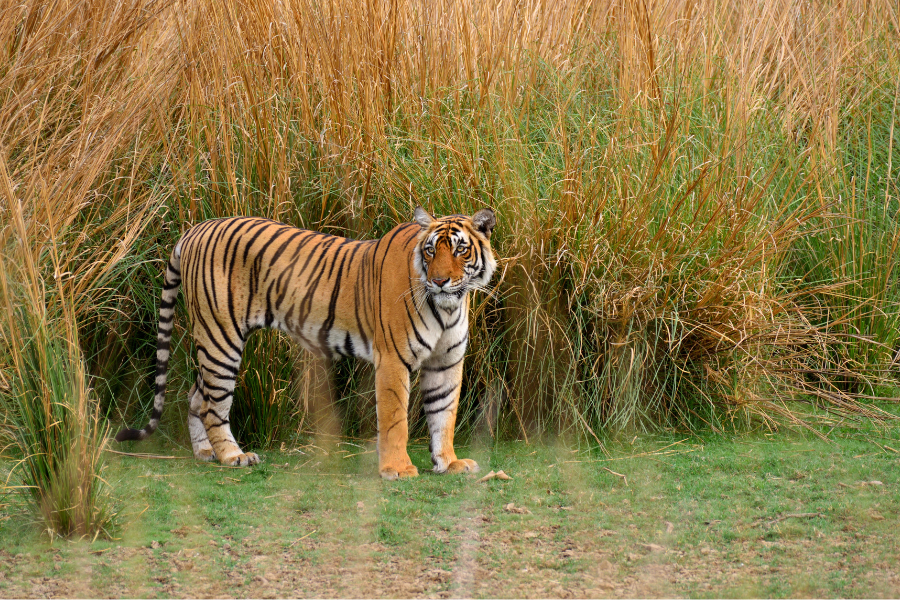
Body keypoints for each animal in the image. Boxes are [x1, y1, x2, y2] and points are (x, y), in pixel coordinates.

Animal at [116, 207, 497, 480]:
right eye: (430, 251)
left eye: (461, 250)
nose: (439, 281)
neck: (448, 306)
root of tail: (196, 229)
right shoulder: (393, 359)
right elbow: (394, 419)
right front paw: (398, 469)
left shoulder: (446, 362)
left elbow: (444, 414)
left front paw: (449, 462)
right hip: (220, 336)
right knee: (213, 403)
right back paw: (233, 456)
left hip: (213, 341)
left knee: (196, 395)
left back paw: (205, 452)